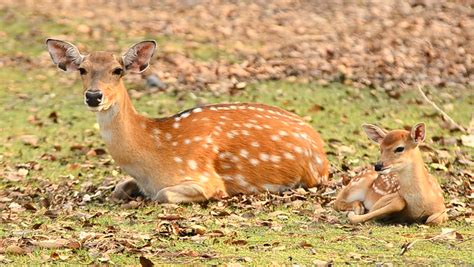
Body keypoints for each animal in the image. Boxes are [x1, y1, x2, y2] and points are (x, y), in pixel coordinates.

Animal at [46, 39, 328, 203]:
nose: (94, 96)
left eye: (118, 70)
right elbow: (118, 188)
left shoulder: (204, 178)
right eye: (82, 70)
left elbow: (163, 195)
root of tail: (322, 152)